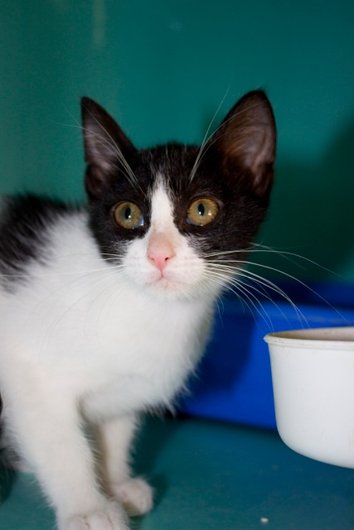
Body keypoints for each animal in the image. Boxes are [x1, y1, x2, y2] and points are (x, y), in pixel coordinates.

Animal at [0, 88, 276, 524]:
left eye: (202, 209)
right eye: (127, 213)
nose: (158, 255)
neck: (148, 309)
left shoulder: (125, 389)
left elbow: (114, 431)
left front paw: (115, 485)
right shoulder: (27, 372)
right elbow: (62, 443)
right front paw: (88, 508)